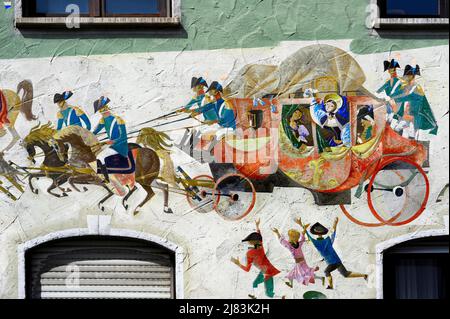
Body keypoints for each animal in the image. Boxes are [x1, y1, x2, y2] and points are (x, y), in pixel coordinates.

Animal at [22, 124, 173, 216]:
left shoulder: (86, 177)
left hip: (142, 179)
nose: (63, 159)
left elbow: (67, 181)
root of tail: (151, 152)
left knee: (147, 191)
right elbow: (38, 177)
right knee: (161, 187)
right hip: (146, 179)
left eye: (58, 146)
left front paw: (73, 191)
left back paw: (135, 208)